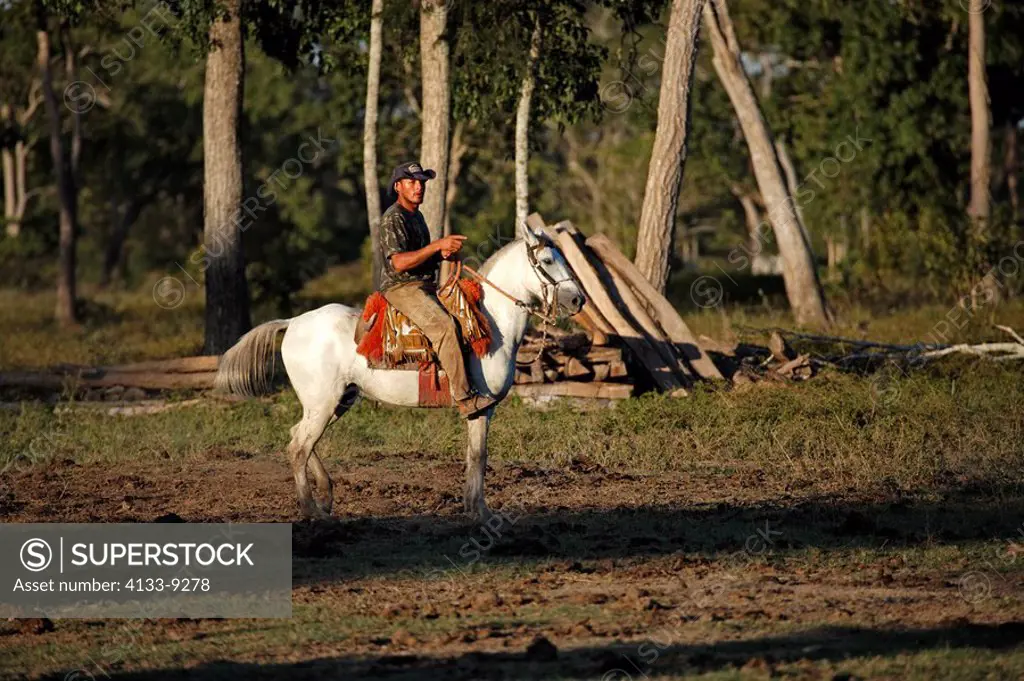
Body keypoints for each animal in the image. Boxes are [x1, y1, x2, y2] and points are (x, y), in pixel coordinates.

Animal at [214, 228, 585, 520]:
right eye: (547, 261)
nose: (578, 300)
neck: (490, 321)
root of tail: (291, 323)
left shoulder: (481, 411)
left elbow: (472, 456)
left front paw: (471, 507)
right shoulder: (481, 407)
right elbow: (479, 456)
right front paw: (480, 512)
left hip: (336, 402)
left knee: (299, 438)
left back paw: (326, 496)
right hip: (323, 403)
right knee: (298, 447)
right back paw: (312, 511)